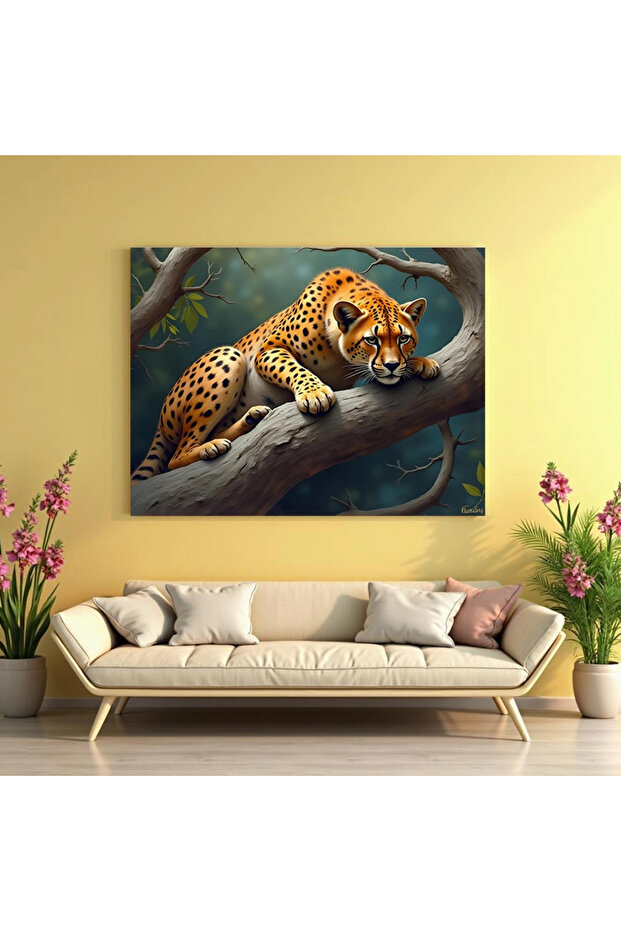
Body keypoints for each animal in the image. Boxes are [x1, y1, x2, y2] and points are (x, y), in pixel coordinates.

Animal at [131, 268, 440, 480]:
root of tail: (160, 420)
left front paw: (421, 362)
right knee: (177, 456)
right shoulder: (269, 349)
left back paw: (252, 419)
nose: (391, 365)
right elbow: (294, 368)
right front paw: (315, 394)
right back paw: (213, 447)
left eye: (403, 338)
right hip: (228, 355)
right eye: (372, 340)